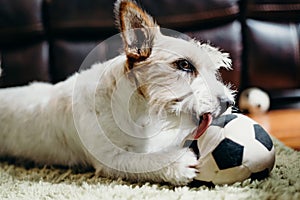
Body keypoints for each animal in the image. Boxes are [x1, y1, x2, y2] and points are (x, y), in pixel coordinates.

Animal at [0, 0, 234, 185]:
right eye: (184, 65)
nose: (228, 103)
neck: (139, 111)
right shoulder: (112, 159)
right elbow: (143, 161)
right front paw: (177, 164)